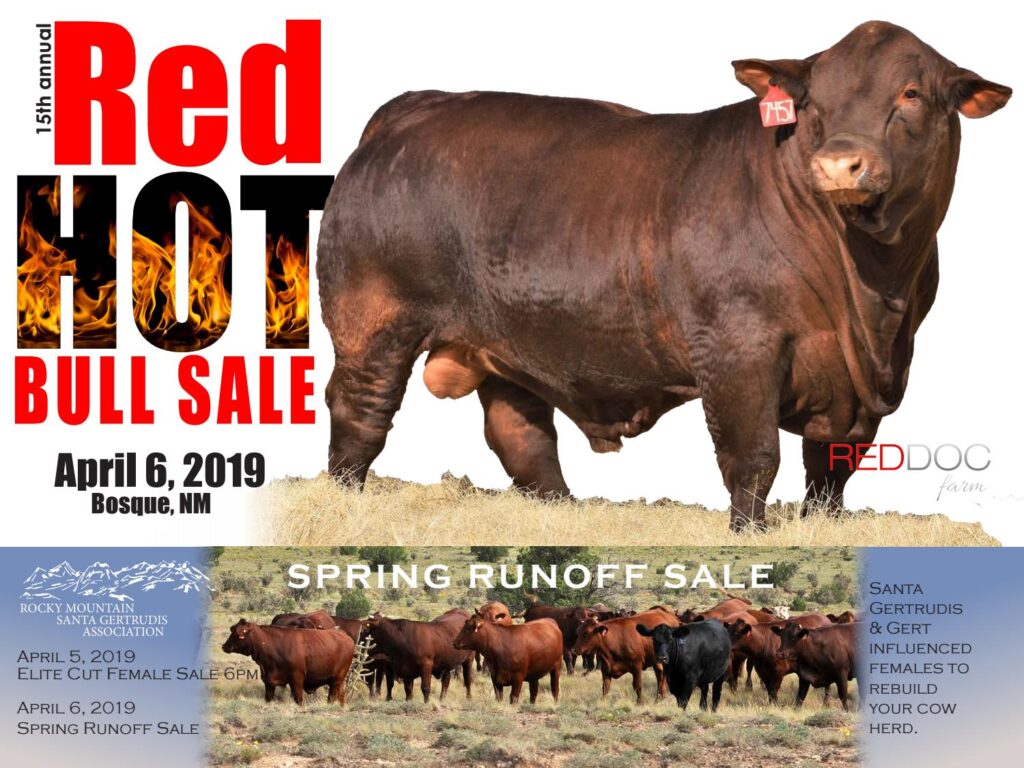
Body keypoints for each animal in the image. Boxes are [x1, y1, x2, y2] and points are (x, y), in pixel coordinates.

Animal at [221, 619, 354, 705]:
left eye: (236, 634)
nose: (224, 646)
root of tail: (345, 636)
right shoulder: (268, 682)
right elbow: (268, 698)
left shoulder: (297, 679)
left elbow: (298, 699)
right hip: (340, 682)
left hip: (336, 680)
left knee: (332, 697)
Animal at [317, 21, 1010, 531]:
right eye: (813, 99)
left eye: (911, 94)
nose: (841, 163)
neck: (868, 293)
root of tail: (413, 109)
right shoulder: (736, 348)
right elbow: (752, 455)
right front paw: (748, 535)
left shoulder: (879, 369)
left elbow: (832, 464)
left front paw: (825, 526)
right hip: (373, 323)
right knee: (361, 412)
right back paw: (344, 502)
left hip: (507, 344)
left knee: (521, 433)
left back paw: (564, 513)